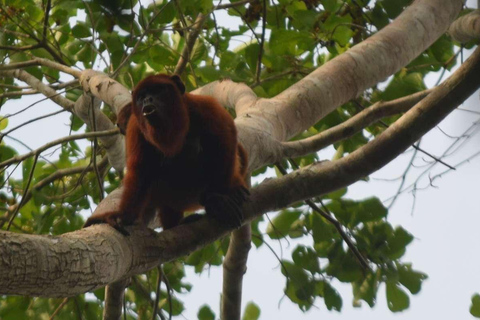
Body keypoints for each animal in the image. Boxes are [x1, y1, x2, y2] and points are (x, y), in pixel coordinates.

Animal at [83, 74, 248, 231]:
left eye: (158, 91)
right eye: (142, 96)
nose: (147, 99)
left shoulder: (205, 107)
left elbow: (226, 140)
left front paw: (217, 199)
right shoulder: (136, 128)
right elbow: (140, 171)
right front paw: (122, 216)